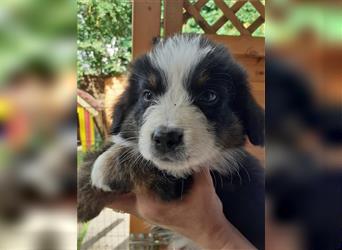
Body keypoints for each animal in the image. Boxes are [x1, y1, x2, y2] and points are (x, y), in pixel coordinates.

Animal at [79, 34, 266, 250]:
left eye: (209, 95)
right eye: (148, 95)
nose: (165, 137)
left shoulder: (182, 179)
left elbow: (147, 160)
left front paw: (106, 167)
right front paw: (81, 195)